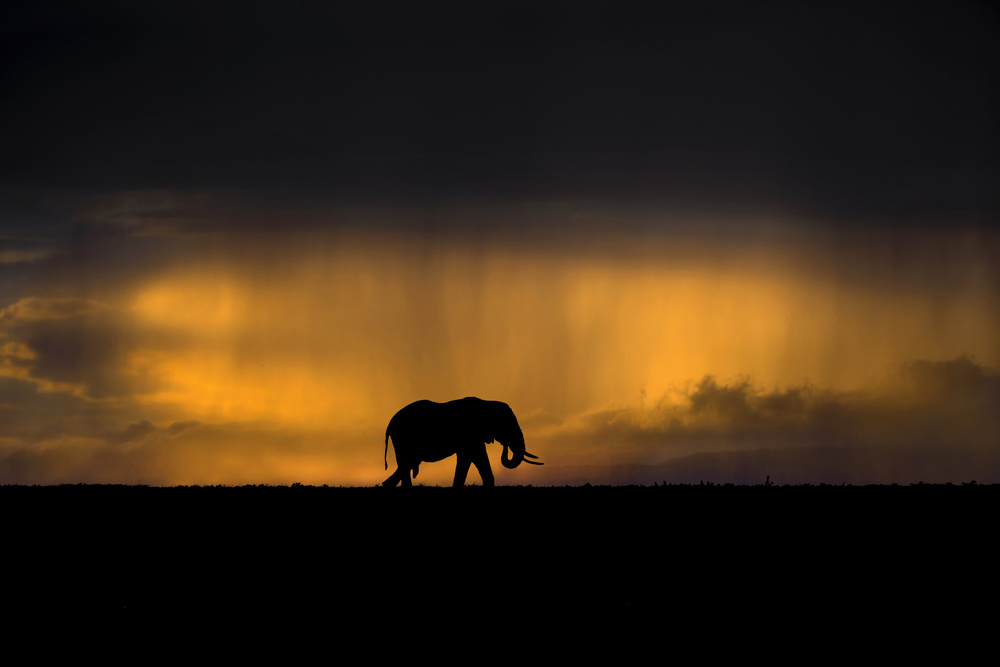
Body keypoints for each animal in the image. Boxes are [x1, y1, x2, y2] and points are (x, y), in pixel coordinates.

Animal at [383, 397, 542, 487]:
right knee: (405, 465)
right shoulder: (470, 435)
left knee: (406, 465)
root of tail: (390, 423)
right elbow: (473, 457)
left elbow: (471, 459)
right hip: (403, 439)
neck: (486, 403)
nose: (505, 445)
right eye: (507, 425)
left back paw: (387, 485)